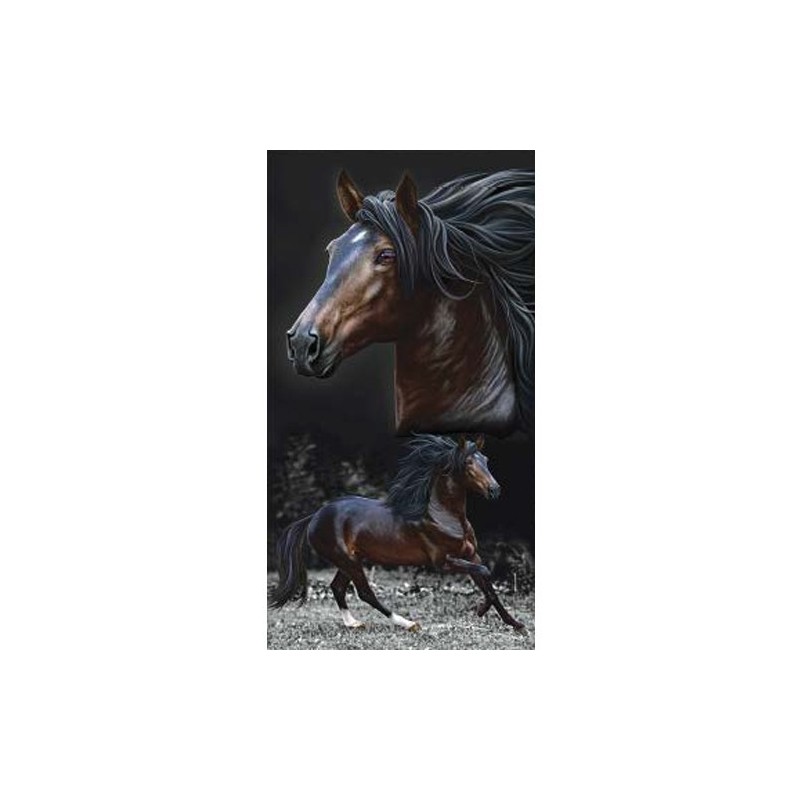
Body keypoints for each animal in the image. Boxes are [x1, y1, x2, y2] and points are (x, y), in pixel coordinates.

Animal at [268, 434, 527, 632]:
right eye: (468, 463)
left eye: (486, 459)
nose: (495, 490)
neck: (445, 518)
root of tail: (314, 517)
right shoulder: (443, 562)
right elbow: (485, 574)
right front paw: (480, 610)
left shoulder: (471, 555)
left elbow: (488, 584)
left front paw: (516, 624)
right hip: (348, 560)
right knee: (365, 593)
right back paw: (409, 624)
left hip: (350, 560)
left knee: (338, 587)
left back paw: (353, 623)